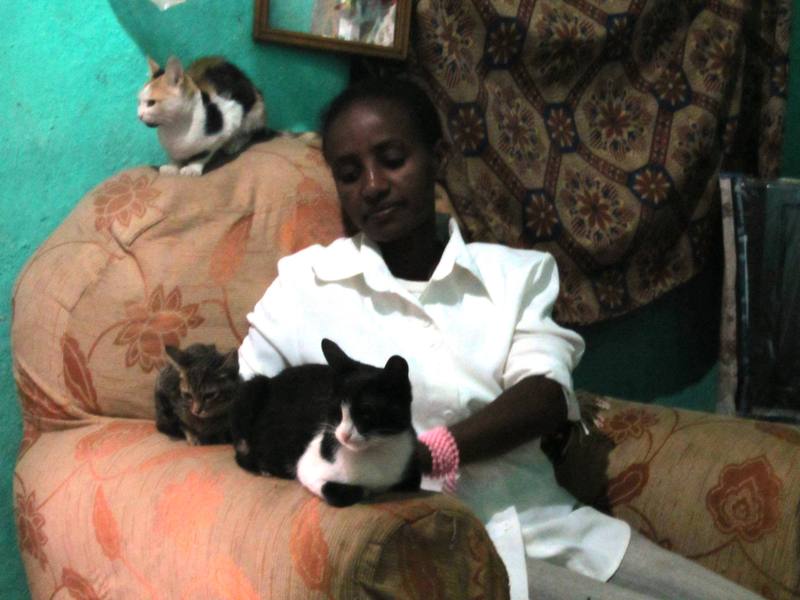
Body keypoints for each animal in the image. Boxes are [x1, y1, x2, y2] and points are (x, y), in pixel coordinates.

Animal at [136, 55, 264, 176]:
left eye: (151, 103)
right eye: (139, 102)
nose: (139, 115)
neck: (176, 127)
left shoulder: (229, 121)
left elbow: (203, 154)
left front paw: (192, 169)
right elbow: (174, 156)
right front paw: (172, 166)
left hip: (255, 113)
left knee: (249, 133)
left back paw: (234, 144)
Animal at [230, 340, 422, 504]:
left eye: (366, 414)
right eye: (335, 410)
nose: (343, 435)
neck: (373, 454)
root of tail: (273, 378)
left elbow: (411, 483)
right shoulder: (307, 467)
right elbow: (341, 492)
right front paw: (365, 491)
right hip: (251, 390)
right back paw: (265, 468)